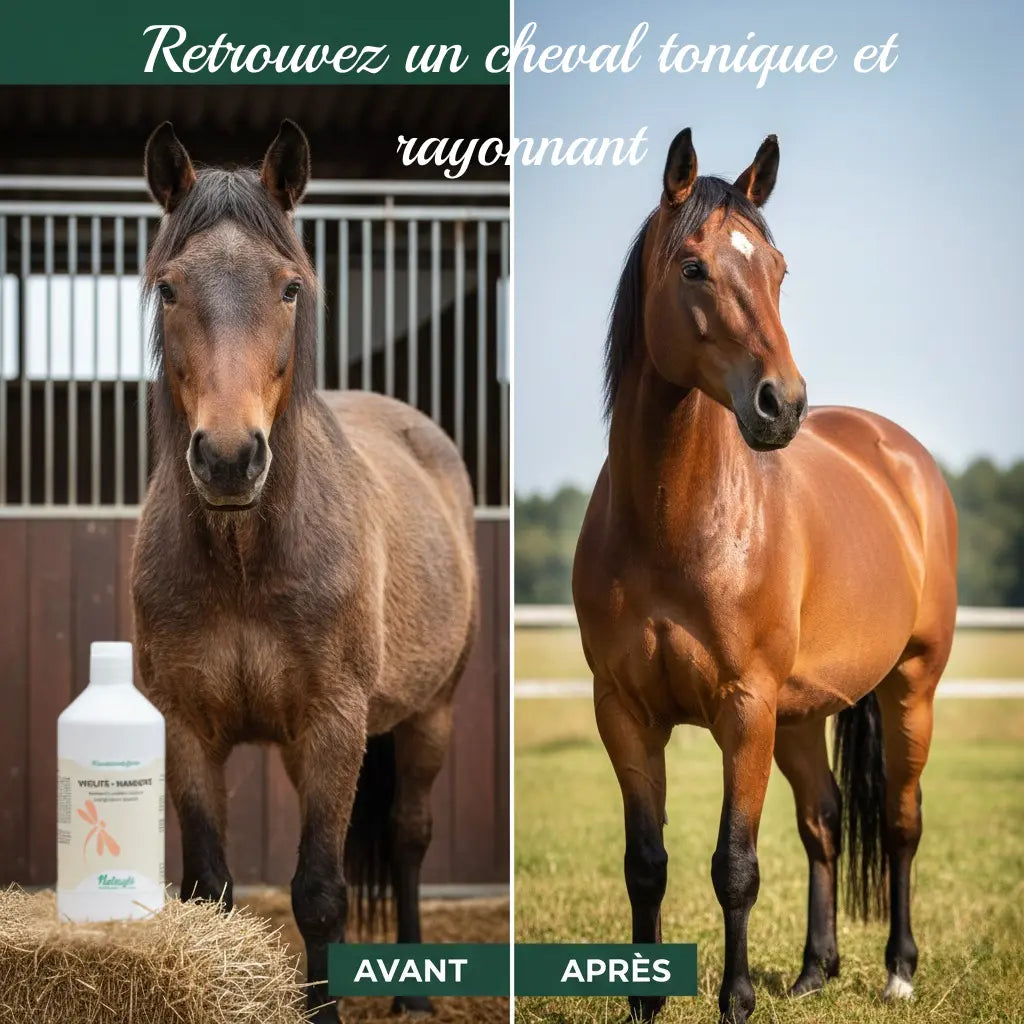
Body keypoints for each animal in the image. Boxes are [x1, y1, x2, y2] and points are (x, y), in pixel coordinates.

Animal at [131, 120, 478, 1023]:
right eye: (170, 289)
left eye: (289, 287)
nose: (227, 458)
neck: (247, 561)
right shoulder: (188, 728)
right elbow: (210, 889)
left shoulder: (334, 723)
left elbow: (320, 893)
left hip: (428, 714)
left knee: (407, 840)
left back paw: (414, 994)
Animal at [572, 128, 957, 1024]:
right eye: (693, 268)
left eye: (779, 270)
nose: (782, 404)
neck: (674, 524)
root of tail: (901, 456)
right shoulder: (625, 714)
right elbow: (648, 864)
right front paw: (645, 1003)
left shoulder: (743, 709)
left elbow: (735, 865)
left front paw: (737, 999)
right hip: (800, 716)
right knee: (823, 819)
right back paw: (818, 969)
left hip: (910, 687)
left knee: (899, 821)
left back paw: (898, 970)